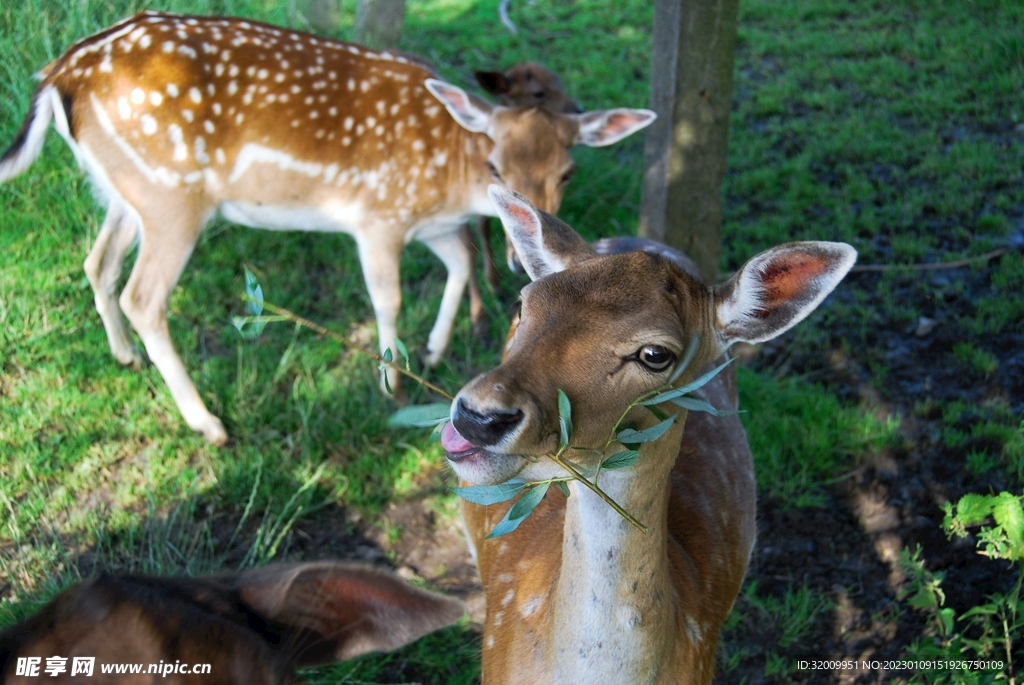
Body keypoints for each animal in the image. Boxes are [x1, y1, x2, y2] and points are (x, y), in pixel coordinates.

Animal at [0, 11, 654, 444]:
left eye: (569, 171)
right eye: (495, 165)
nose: (526, 260)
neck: (448, 178)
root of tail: (58, 74)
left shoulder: (430, 226)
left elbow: (460, 263)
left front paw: (434, 350)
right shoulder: (378, 216)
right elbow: (388, 298)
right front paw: (393, 385)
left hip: (122, 191)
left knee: (97, 261)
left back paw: (124, 356)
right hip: (170, 197)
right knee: (143, 296)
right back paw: (208, 422)